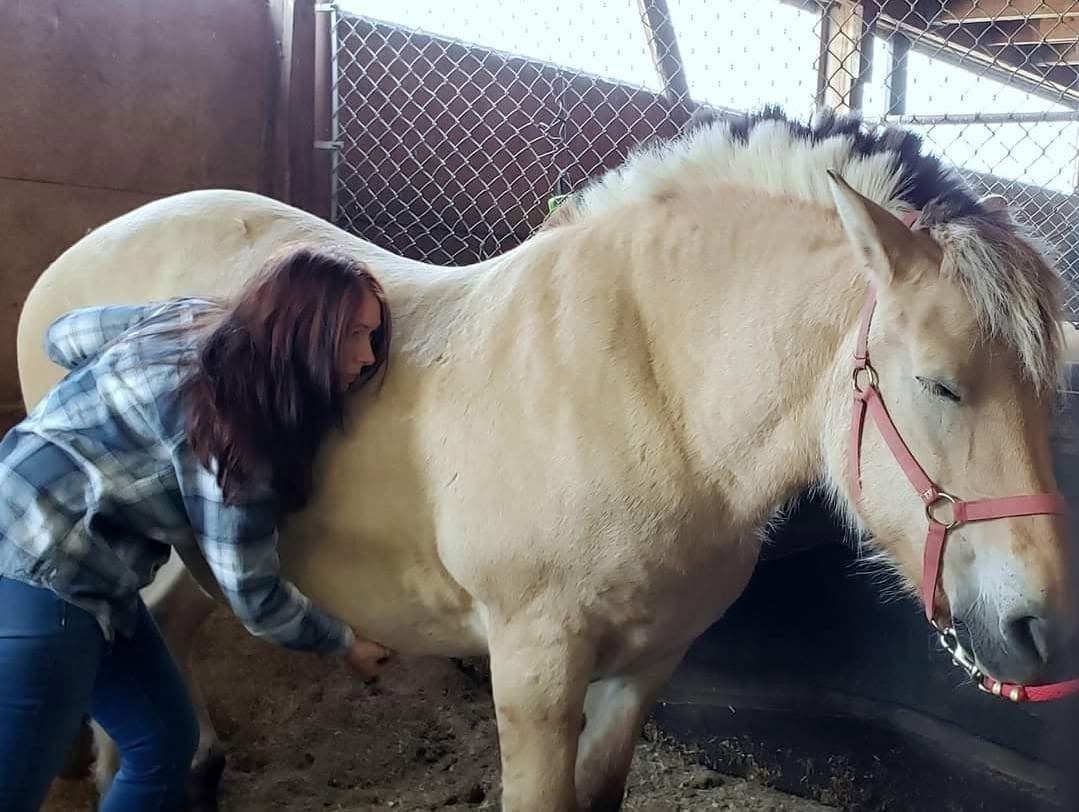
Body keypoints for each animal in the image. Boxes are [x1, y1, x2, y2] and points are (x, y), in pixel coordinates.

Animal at [16, 106, 1076, 811]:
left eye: (1046, 394)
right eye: (939, 384)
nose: (1039, 628)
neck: (647, 391)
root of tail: (76, 262)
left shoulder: (644, 669)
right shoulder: (533, 674)